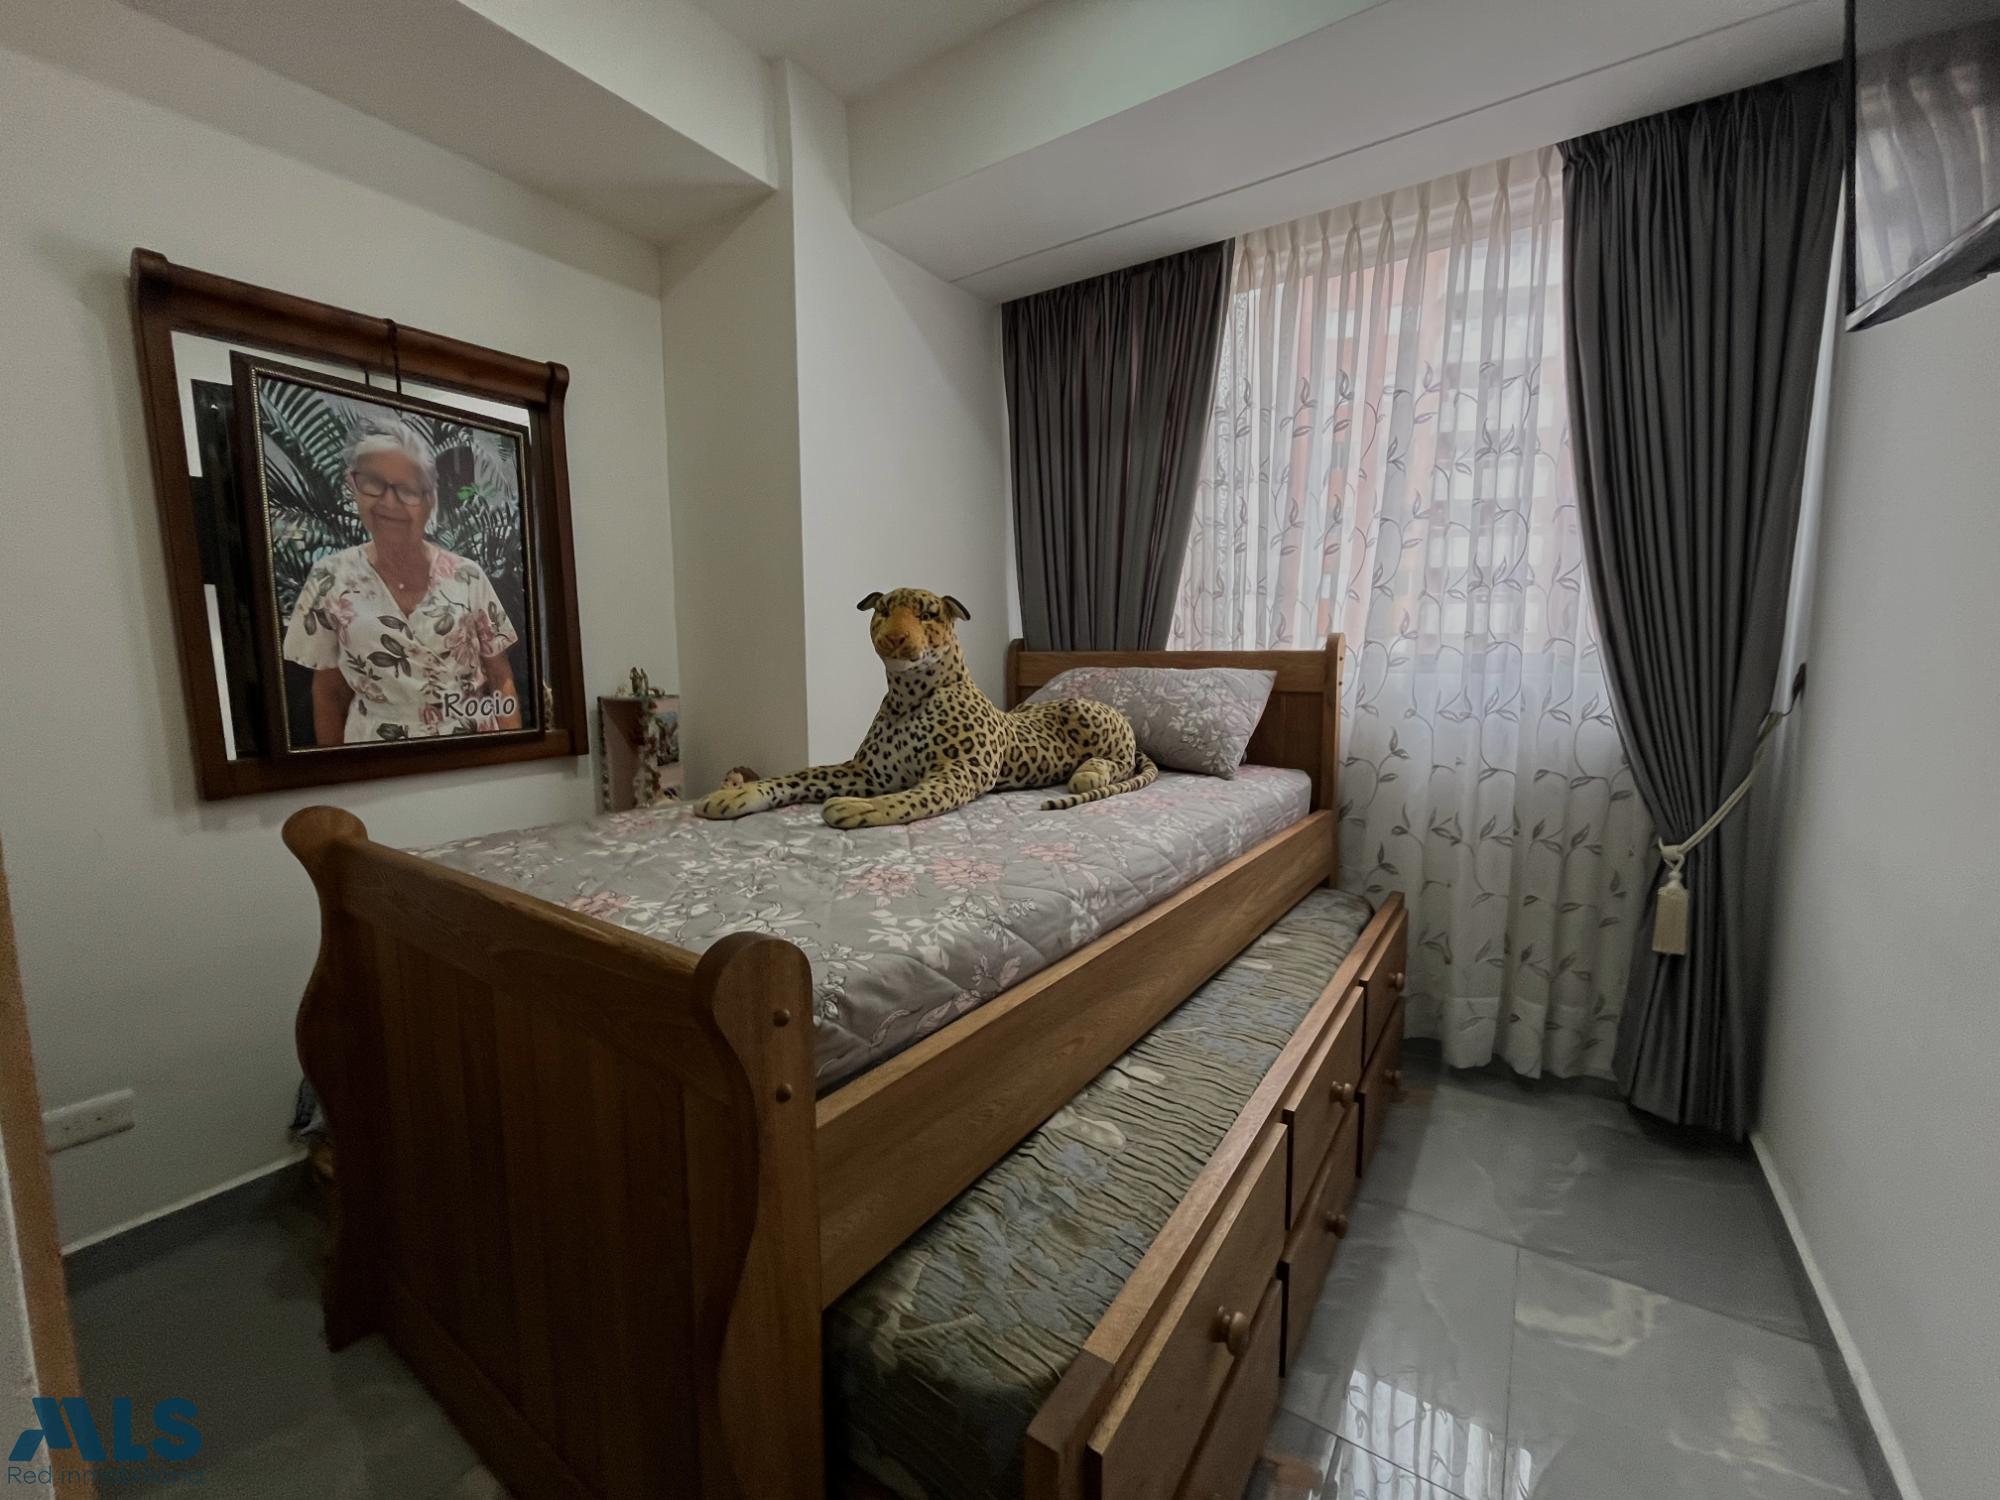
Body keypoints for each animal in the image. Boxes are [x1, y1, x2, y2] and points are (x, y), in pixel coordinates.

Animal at [691, 587, 1158, 830]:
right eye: (883, 611)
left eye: (928, 614)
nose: (895, 638)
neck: (907, 697)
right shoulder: (867, 771)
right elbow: (798, 775)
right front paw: (737, 792)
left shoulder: (959, 773)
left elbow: (911, 798)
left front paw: (860, 808)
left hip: (1084, 709)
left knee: (1120, 763)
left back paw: (1089, 772)